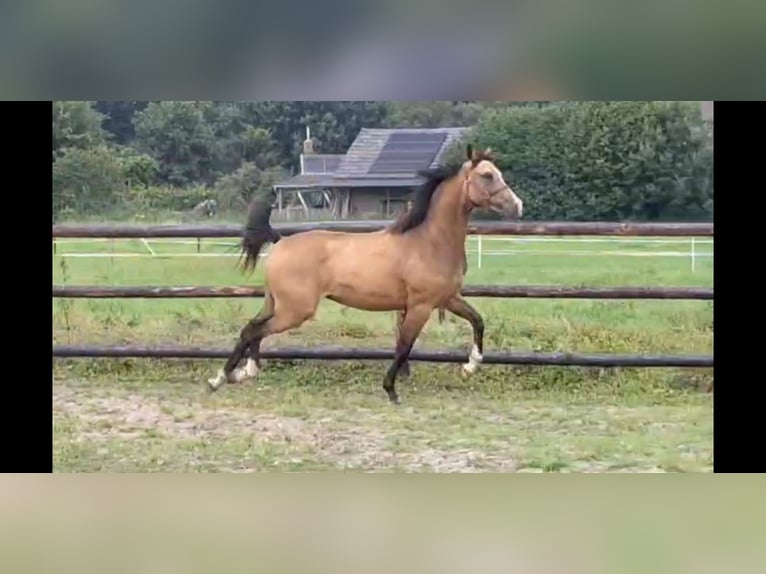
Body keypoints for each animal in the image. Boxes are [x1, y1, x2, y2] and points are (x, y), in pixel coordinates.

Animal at [207, 146, 524, 402]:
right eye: (487, 175)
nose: (518, 206)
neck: (428, 241)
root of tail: (280, 241)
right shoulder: (420, 306)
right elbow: (404, 346)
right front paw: (391, 391)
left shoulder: (447, 299)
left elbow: (478, 321)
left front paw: (470, 366)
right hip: (295, 310)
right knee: (256, 331)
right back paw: (224, 378)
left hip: (276, 303)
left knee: (251, 329)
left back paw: (235, 375)